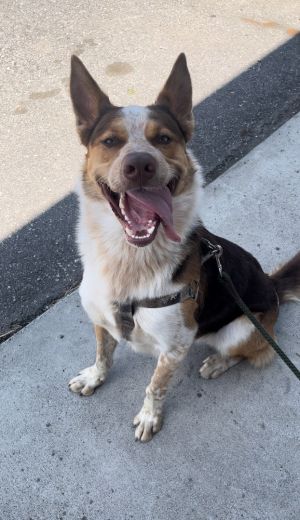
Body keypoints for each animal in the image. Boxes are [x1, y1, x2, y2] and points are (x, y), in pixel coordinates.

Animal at [68, 52, 300, 440]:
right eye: (111, 142)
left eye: (163, 139)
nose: (140, 164)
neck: (129, 258)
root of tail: (272, 286)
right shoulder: (100, 318)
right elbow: (104, 354)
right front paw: (95, 377)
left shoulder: (176, 346)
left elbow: (155, 386)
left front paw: (150, 416)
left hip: (240, 329)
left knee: (252, 352)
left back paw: (218, 362)